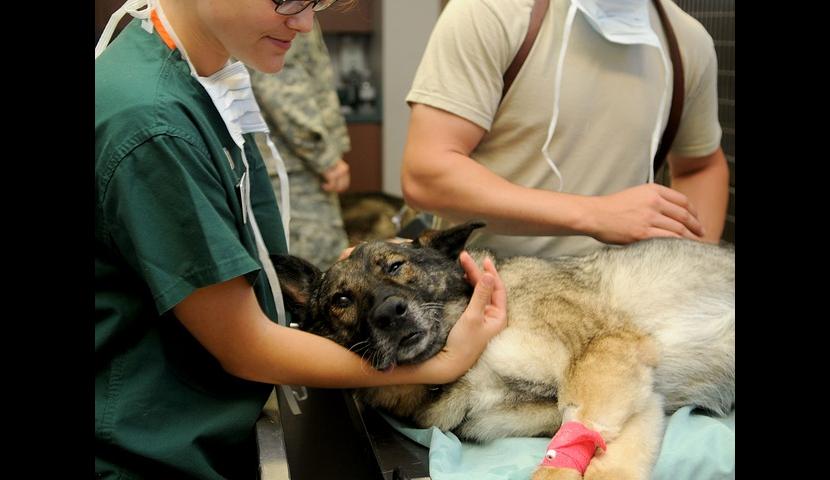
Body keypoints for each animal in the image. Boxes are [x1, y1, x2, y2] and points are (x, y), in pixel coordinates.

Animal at [272, 223, 736, 478]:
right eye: (341, 300)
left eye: (395, 266)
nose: (390, 313)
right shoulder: (635, 398)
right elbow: (602, 455)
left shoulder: (603, 356)